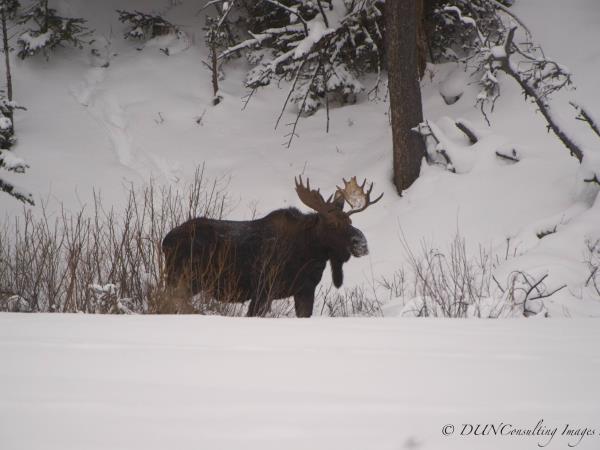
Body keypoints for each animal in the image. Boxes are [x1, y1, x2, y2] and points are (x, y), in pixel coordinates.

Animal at [162, 175, 382, 316]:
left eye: (350, 221)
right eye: (332, 224)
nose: (362, 243)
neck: (309, 256)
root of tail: (165, 242)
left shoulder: (304, 290)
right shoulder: (263, 289)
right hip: (184, 277)